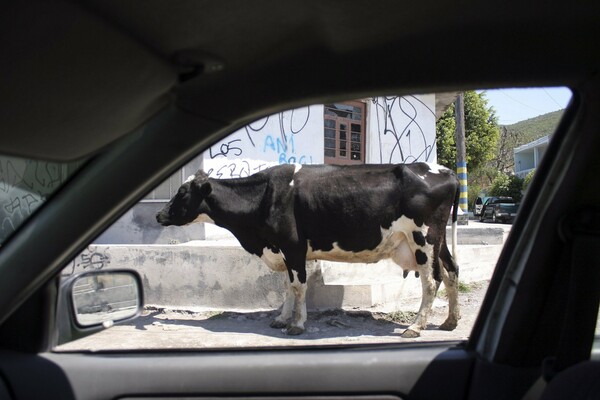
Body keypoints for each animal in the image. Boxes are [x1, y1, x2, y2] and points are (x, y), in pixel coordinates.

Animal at [155, 162, 460, 338]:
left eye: (182, 192)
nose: (159, 214)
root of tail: (446, 171)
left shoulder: (293, 246)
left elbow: (299, 285)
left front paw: (297, 324)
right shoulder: (280, 248)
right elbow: (286, 285)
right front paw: (280, 318)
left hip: (423, 238)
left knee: (432, 280)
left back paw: (415, 327)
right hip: (439, 241)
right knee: (451, 272)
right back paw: (450, 321)